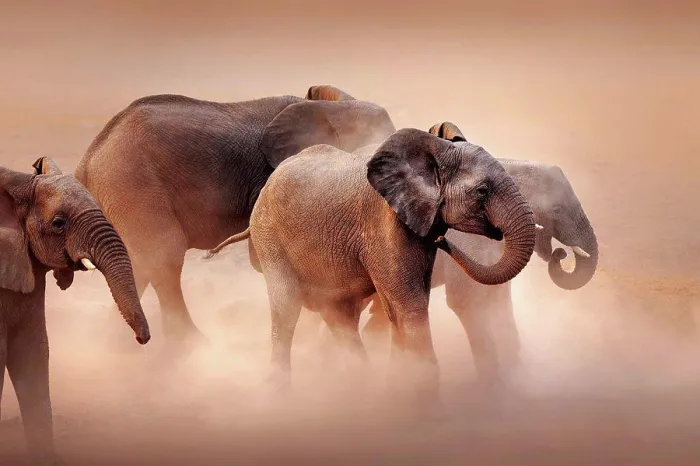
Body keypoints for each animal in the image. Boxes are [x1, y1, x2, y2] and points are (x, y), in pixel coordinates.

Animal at [74, 84, 396, 348]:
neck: (331, 107)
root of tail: (86, 163)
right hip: (133, 186)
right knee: (163, 257)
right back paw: (193, 346)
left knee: (140, 263)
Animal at [207, 128, 537, 409]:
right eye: (482, 191)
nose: (443, 239)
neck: (435, 149)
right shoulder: (382, 225)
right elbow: (408, 304)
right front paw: (428, 406)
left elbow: (400, 306)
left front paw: (402, 392)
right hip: (270, 237)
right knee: (286, 309)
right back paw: (282, 398)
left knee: (339, 315)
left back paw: (360, 391)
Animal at [355, 121, 599, 388]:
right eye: (554, 209)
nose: (561, 254)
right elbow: (467, 301)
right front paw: (495, 388)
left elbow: (499, 301)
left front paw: (517, 379)